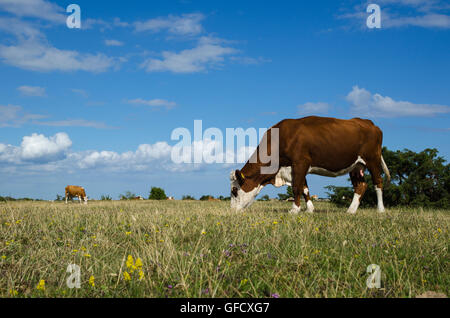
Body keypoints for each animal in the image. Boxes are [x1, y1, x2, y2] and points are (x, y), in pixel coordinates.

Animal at [230, 116, 388, 214]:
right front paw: (309, 209)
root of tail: (368, 122)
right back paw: (351, 210)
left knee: (378, 182)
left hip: (373, 159)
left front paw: (294, 210)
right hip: (355, 166)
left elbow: (296, 187)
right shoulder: (294, 168)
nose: (232, 211)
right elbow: (304, 188)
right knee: (361, 186)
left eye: (235, 191)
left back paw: (380, 209)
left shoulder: (300, 162)